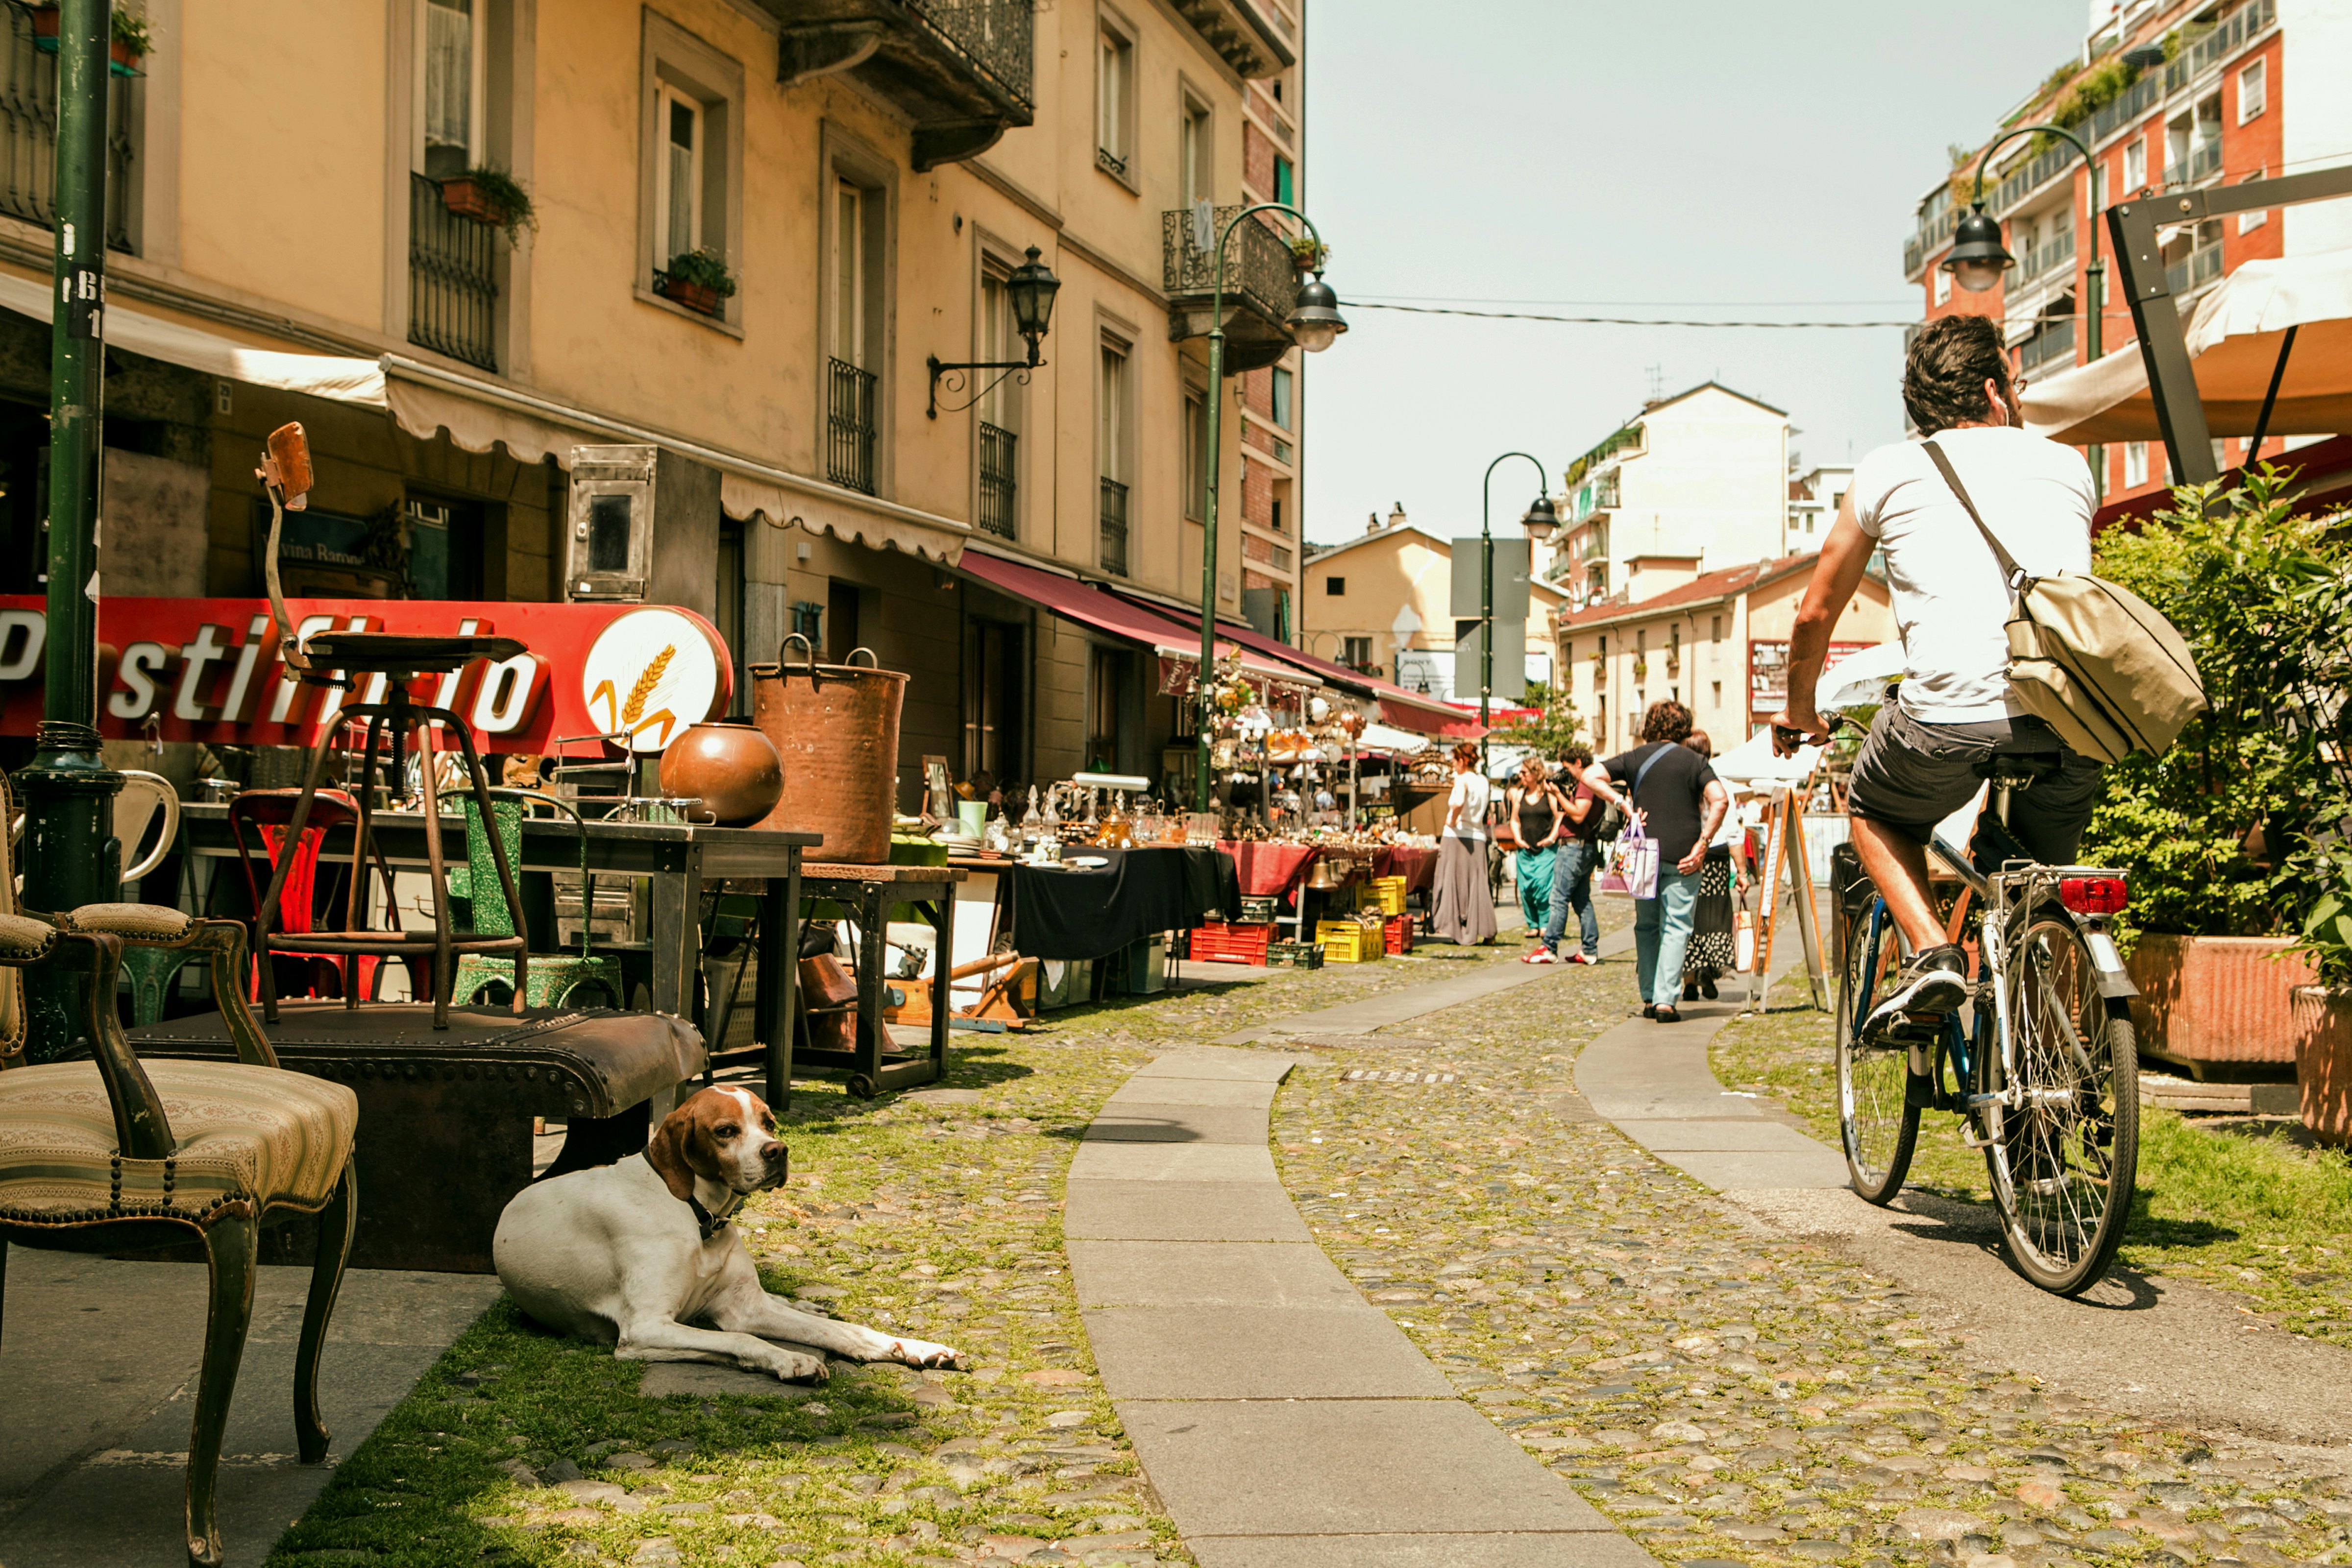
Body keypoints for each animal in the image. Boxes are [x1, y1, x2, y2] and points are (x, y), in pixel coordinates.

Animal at [496, 1086, 964, 1382]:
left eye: (769, 1123)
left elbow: (842, 1331)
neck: (701, 1217)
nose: (778, 1151)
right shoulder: (646, 1328)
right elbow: (740, 1337)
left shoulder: (744, 1305)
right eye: (725, 1131)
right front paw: (790, 1359)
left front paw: (907, 1344)